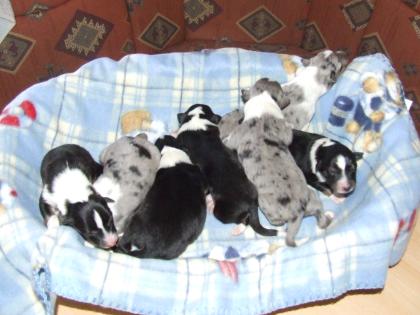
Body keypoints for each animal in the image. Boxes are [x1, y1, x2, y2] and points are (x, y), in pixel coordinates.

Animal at [226, 91, 332, 247]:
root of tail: (298, 212)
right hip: (313, 198)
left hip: (265, 204)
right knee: (320, 214)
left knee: (277, 223)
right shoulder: (284, 131)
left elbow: (229, 140)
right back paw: (327, 217)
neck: (263, 115)